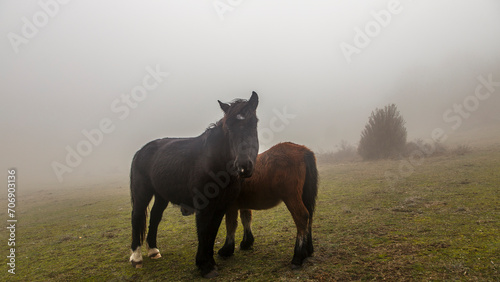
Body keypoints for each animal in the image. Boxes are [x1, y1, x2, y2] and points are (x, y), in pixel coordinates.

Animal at [129, 91, 260, 276]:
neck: (214, 163)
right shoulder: (204, 205)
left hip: (161, 196)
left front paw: (210, 262)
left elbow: (212, 231)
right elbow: (204, 230)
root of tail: (141, 151)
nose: (244, 166)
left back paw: (153, 251)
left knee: (155, 217)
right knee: (137, 217)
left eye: (253, 123)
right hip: (142, 193)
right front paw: (205, 266)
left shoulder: (222, 205)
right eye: (228, 128)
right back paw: (136, 257)